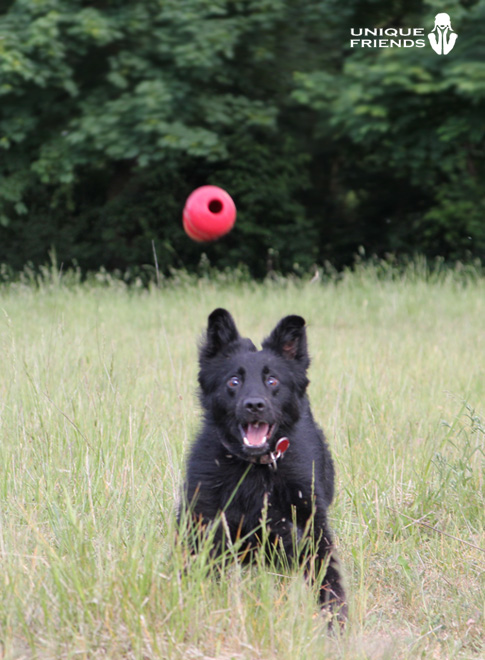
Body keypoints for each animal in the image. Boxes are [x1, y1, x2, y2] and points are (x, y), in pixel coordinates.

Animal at [178, 308, 344, 620]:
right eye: (233, 381)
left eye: (272, 381)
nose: (254, 405)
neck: (253, 468)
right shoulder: (206, 528)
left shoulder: (310, 532)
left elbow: (329, 583)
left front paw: (336, 623)